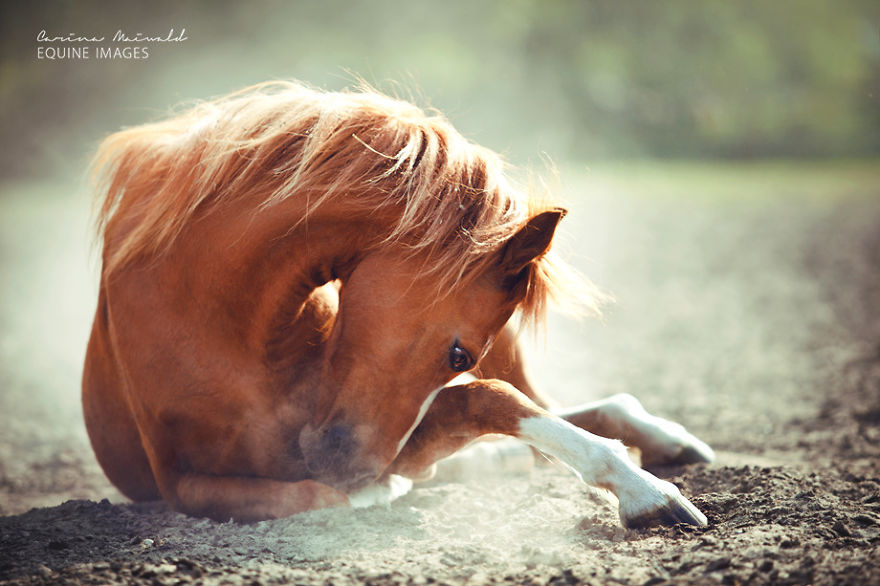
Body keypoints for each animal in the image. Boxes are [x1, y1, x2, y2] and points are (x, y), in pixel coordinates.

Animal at [83, 81, 713, 528]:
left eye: (462, 358)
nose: (356, 467)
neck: (215, 316)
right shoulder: (184, 482)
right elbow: (320, 495)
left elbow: (490, 399)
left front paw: (645, 490)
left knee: (564, 402)